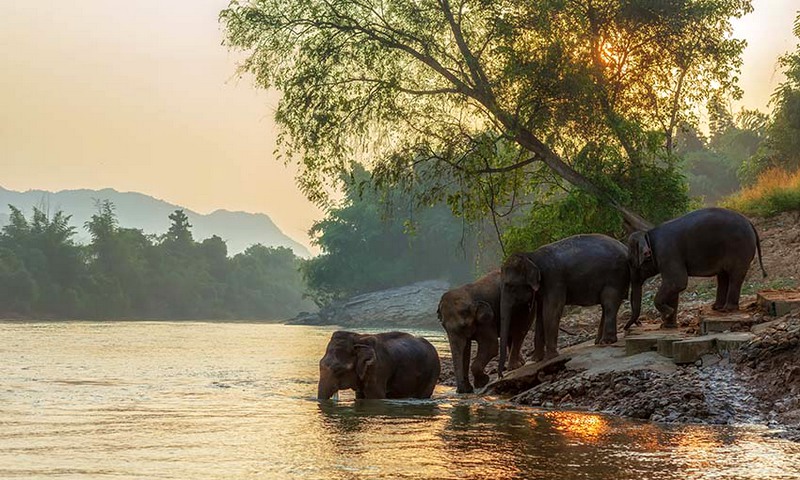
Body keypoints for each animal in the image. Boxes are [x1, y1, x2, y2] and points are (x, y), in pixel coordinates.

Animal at [624, 206, 768, 330]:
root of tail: (750, 223)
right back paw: (717, 307)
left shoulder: (668, 253)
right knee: (723, 275)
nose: (630, 327)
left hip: (739, 248)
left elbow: (678, 282)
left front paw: (667, 314)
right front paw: (667, 325)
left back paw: (728, 309)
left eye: (630, 262)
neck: (647, 234)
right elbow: (674, 286)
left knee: (735, 275)